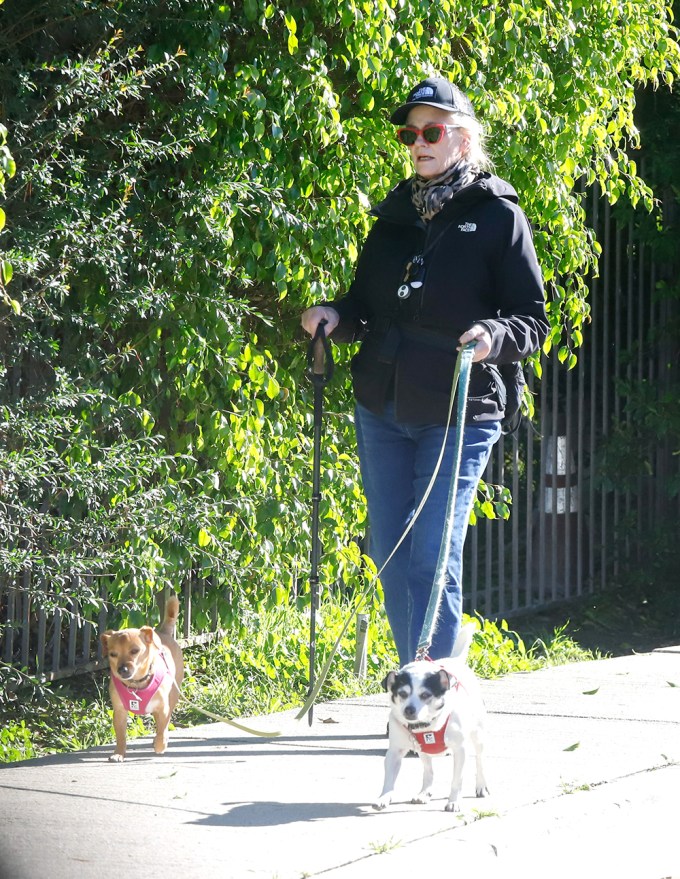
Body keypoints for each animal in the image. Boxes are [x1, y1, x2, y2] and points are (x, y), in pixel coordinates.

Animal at [98, 600, 183, 764]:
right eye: (113, 654)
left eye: (135, 651)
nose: (122, 669)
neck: (136, 684)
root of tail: (164, 633)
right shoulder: (119, 712)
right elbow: (121, 736)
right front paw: (119, 753)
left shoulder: (163, 709)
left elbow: (162, 729)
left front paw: (160, 745)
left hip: (173, 695)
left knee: (165, 723)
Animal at [372, 624, 488, 816]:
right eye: (402, 694)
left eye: (425, 695)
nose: (409, 709)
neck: (425, 726)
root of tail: (456, 661)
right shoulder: (395, 752)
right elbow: (389, 778)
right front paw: (383, 797)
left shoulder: (460, 750)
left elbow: (457, 780)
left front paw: (453, 801)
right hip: (422, 751)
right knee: (428, 771)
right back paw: (424, 793)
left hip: (478, 736)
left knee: (479, 761)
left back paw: (481, 786)